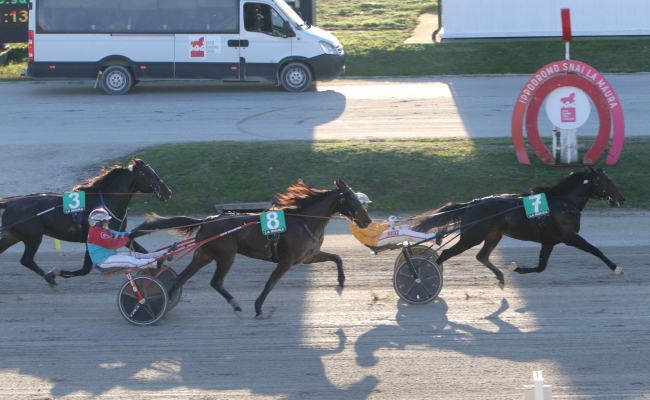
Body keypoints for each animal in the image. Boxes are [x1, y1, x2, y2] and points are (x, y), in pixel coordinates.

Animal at [0, 159, 171, 284]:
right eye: (150, 175)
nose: (167, 192)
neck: (105, 202)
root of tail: (11, 203)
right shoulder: (93, 237)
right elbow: (85, 269)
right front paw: (59, 273)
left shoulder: (119, 234)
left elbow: (142, 249)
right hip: (33, 237)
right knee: (26, 259)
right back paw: (49, 277)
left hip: (12, 235)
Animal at [133, 180, 370, 318]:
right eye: (351, 198)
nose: (366, 220)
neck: (304, 221)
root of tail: (207, 221)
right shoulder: (287, 261)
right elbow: (270, 284)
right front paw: (258, 307)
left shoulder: (308, 257)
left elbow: (337, 257)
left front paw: (341, 282)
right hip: (226, 256)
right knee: (215, 282)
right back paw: (236, 305)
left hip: (204, 254)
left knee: (181, 278)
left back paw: (164, 303)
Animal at [410, 168, 624, 288]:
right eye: (607, 181)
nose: (621, 199)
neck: (563, 202)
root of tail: (471, 204)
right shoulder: (569, 236)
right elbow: (595, 250)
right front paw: (616, 268)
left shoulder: (549, 242)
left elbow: (540, 267)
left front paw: (516, 268)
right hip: (471, 236)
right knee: (445, 254)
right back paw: (423, 278)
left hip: (493, 235)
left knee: (482, 256)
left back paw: (500, 277)